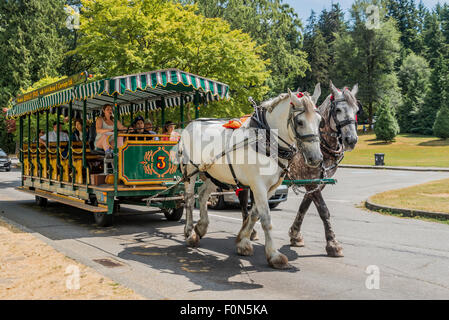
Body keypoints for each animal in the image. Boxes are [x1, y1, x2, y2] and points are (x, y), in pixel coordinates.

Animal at [178, 86, 322, 268]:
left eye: (319, 121)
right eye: (300, 122)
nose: (316, 158)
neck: (267, 139)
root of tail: (191, 124)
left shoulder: (271, 187)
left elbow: (254, 214)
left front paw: (243, 242)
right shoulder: (258, 185)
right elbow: (266, 218)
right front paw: (274, 255)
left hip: (213, 173)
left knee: (203, 195)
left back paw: (200, 228)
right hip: (190, 170)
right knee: (190, 199)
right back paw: (189, 231)